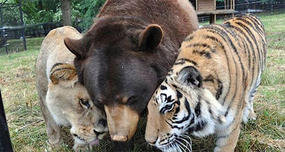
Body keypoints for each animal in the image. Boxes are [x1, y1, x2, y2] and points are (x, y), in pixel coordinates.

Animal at [145, 13, 266, 151]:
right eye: (148, 109)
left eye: (168, 107)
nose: (149, 141)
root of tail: (248, 14)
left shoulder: (229, 129)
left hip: (257, 79)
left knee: (250, 97)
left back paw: (250, 115)